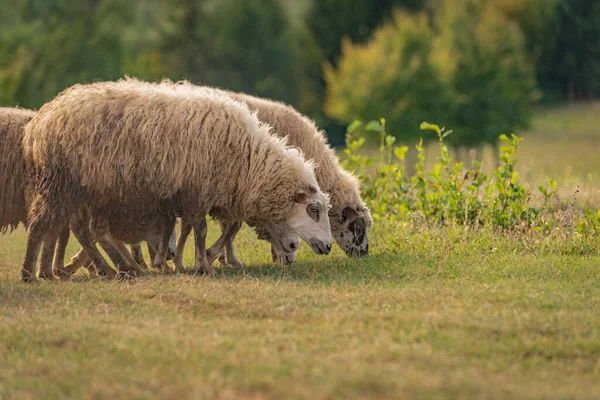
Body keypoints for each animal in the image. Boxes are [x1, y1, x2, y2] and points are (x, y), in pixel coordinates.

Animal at [22, 78, 332, 282]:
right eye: (314, 209)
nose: (327, 247)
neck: (247, 158)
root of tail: (45, 117)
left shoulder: (189, 195)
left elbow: (187, 228)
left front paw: (181, 262)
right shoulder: (197, 190)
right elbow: (201, 230)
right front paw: (202, 265)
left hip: (87, 191)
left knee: (85, 231)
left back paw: (115, 269)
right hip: (69, 184)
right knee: (45, 225)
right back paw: (32, 273)